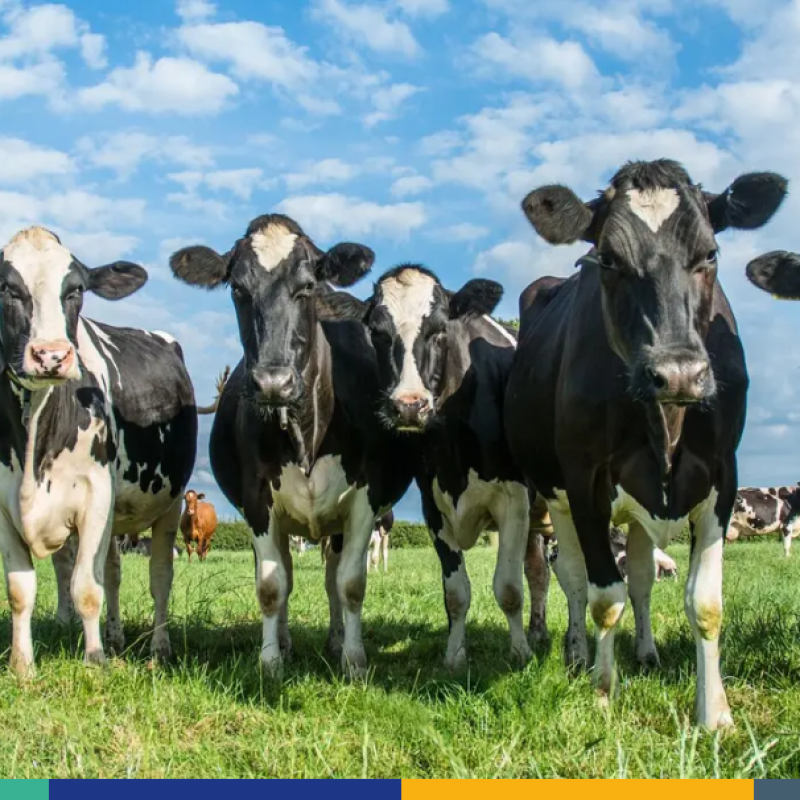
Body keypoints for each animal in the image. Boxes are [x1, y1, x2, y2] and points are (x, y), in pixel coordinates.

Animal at [0, 227, 197, 674]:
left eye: (75, 290)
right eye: (7, 287)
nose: (51, 355)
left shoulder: (95, 495)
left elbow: (86, 588)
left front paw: (94, 662)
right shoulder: (2, 504)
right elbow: (21, 589)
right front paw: (23, 667)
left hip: (170, 503)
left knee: (160, 576)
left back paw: (159, 647)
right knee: (114, 571)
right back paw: (116, 635)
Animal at [168, 213, 419, 679]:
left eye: (306, 286)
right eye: (237, 288)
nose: (273, 382)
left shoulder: (365, 497)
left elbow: (350, 584)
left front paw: (354, 661)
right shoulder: (256, 499)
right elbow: (271, 585)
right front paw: (269, 662)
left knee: (332, 575)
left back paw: (336, 640)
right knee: (283, 569)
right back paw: (284, 641)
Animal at [340, 263, 550, 668]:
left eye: (440, 329)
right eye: (378, 332)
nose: (409, 406)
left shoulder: (514, 501)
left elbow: (508, 587)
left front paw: (518, 655)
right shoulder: (433, 505)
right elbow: (456, 592)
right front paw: (454, 656)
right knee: (538, 570)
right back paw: (538, 632)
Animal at [504, 159, 787, 729]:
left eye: (710, 254)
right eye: (608, 260)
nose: (677, 373)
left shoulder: (722, 476)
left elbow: (703, 602)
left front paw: (715, 713)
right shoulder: (585, 482)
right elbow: (602, 597)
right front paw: (602, 693)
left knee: (640, 579)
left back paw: (647, 651)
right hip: (554, 497)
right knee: (571, 578)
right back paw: (577, 654)